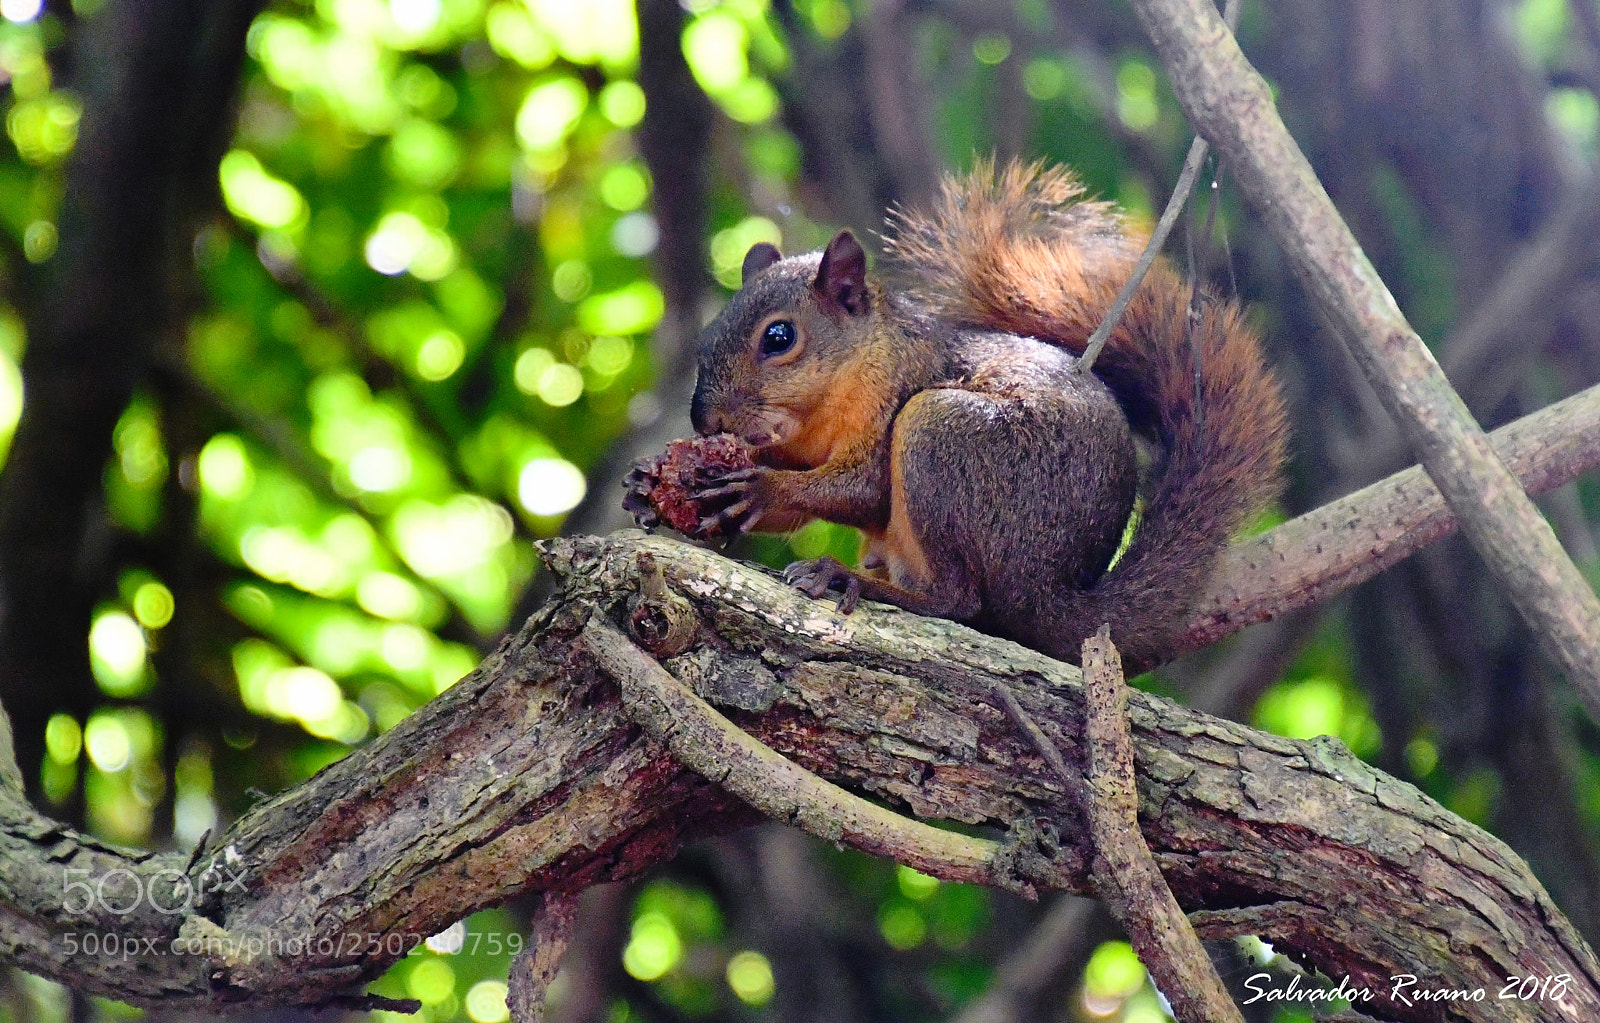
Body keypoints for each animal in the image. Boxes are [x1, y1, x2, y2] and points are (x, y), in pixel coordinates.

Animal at [679, 160, 1288, 673]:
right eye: (707, 337)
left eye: (779, 338)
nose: (704, 421)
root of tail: (1048, 593)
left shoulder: (897, 391)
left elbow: (865, 489)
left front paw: (760, 487)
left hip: (940, 434)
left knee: (960, 601)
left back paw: (851, 580)